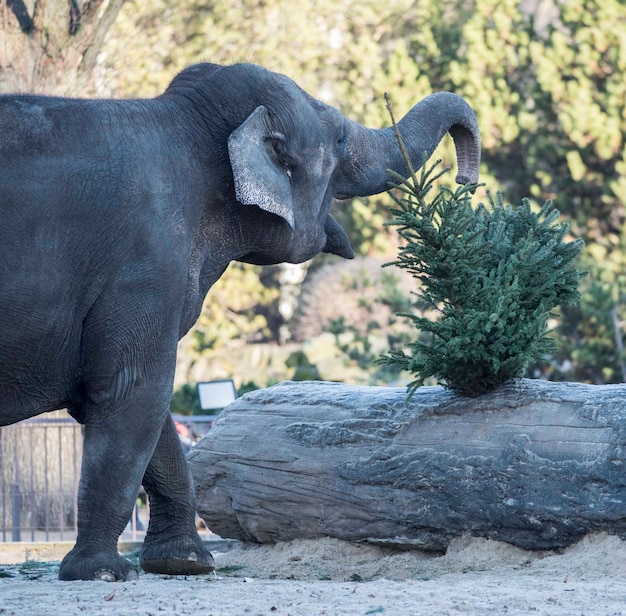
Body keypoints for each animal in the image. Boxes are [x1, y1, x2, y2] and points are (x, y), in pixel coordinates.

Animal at [0, 62, 480, 584]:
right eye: (336, 137)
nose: (466, 184)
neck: (184, 120)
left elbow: (150, 408)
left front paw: (185, 562)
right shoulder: (144, 263)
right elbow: (129, 389)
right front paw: (101, 572)